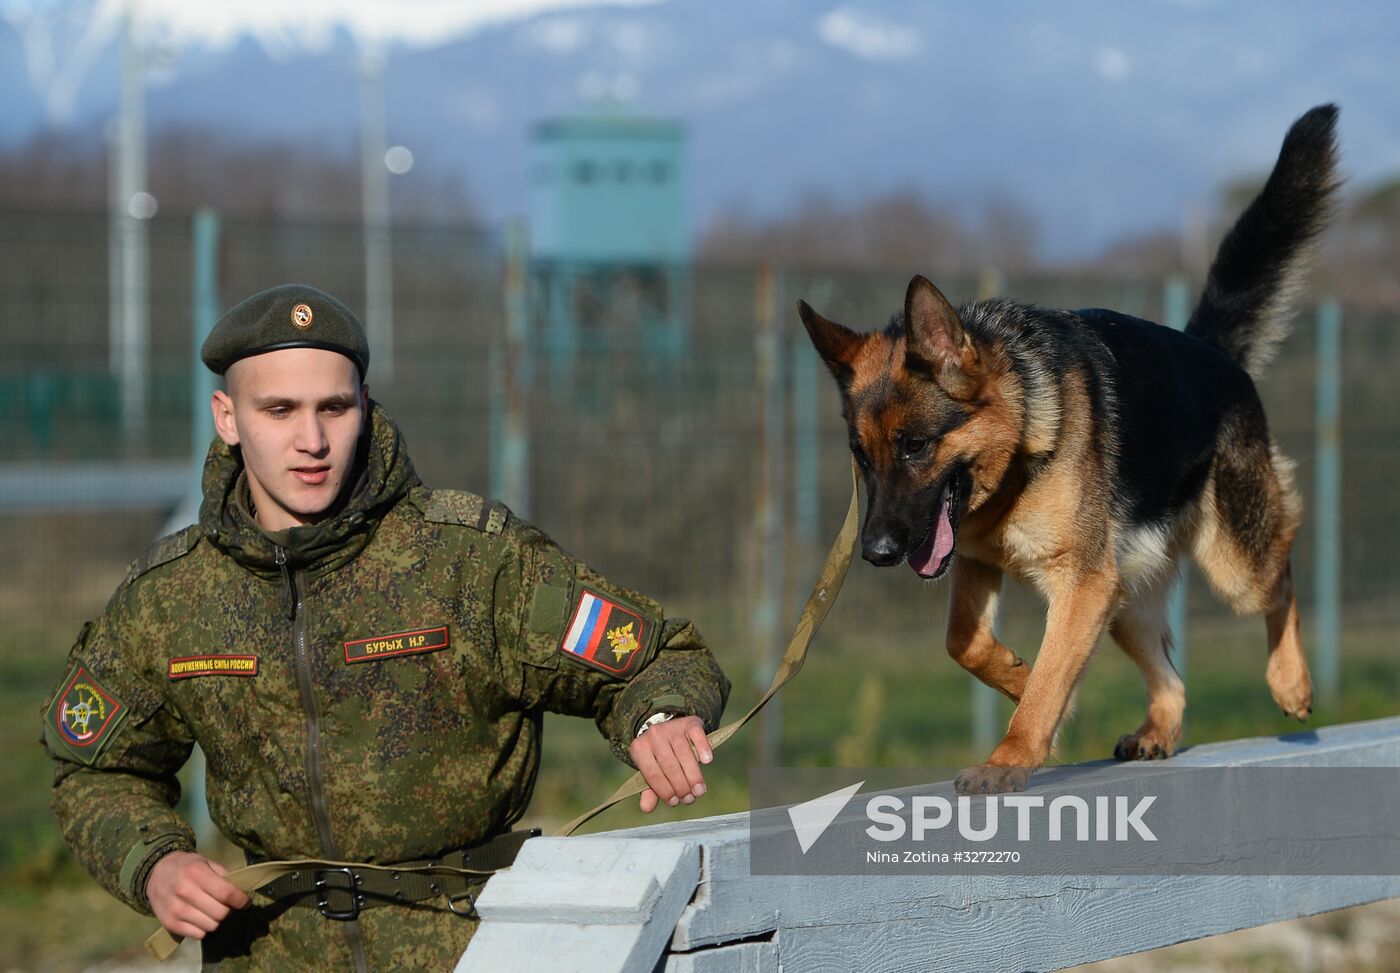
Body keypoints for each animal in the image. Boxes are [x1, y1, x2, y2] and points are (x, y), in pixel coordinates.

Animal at [800, 106, 1332, 795]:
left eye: (916, 445)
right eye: (861, 457)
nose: (877, 553)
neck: (1021, 444)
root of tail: (1212, 351)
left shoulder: (1079, 587)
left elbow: (1050, 680)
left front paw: (1010, 756)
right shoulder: (987, 566)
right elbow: (964, 643)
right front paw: (1020, 680)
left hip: (1231, 565)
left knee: (1283, 578)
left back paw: (1290, 682)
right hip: (1124, 598)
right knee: (1172, 677)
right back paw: (1159, 730)